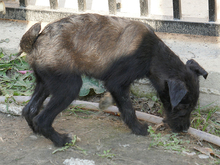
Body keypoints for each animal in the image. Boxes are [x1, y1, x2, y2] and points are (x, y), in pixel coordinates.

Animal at [19, 13, 208, 146]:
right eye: (182, 107)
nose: (185, 129)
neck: (153, 54)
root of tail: (37, 40)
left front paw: (105, 102)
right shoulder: (117, 83)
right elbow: (128, 109)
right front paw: (138, 129)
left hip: (46, 83)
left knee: (29, 109)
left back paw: (37, 132)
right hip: (69, 87)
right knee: (42, 119)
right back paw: (60, 140)